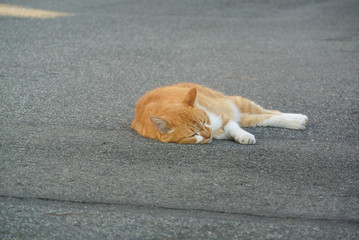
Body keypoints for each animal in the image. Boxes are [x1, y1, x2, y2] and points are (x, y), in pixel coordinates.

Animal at [131, 82, 308, 144]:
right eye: (193, 134)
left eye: (203, 122)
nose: (208, 134)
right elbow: (229, 131)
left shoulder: (223, 117)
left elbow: (233, 127)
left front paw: (244, 136)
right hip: (246, 117)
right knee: (262, 118)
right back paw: (296, 122)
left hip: (240, 103)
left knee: (271, 112)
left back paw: (298, 118)